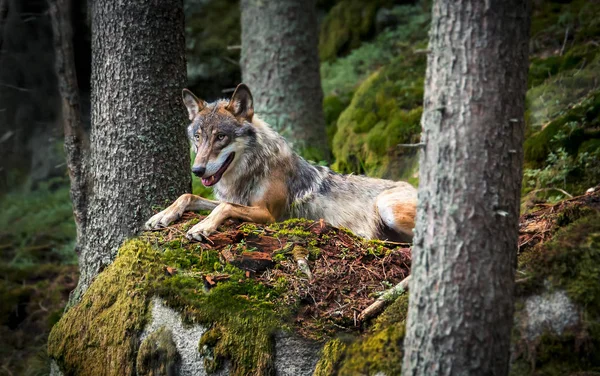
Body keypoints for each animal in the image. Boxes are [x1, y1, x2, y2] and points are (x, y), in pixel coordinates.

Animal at [145, 84, 418, 242]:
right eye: (198, 137)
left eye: (221, 137)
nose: (197, 170)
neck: (251, 170)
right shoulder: (235, 200)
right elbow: (188, 196)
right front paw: (161, 216)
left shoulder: (268, 215)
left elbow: (222, 207)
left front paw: (202, 227)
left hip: (386, 206)